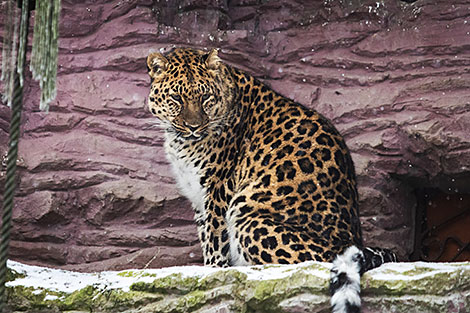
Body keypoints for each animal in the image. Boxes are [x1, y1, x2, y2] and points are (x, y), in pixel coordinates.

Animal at [146, 47, 396, 312]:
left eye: (205, 98)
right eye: (176, 98)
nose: (193, 127)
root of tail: (351, 242)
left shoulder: (217, 189)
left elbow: (215, 238)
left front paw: (213, 272)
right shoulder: (198, 194)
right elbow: (205, 235)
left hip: (246, 215)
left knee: (304, 266)